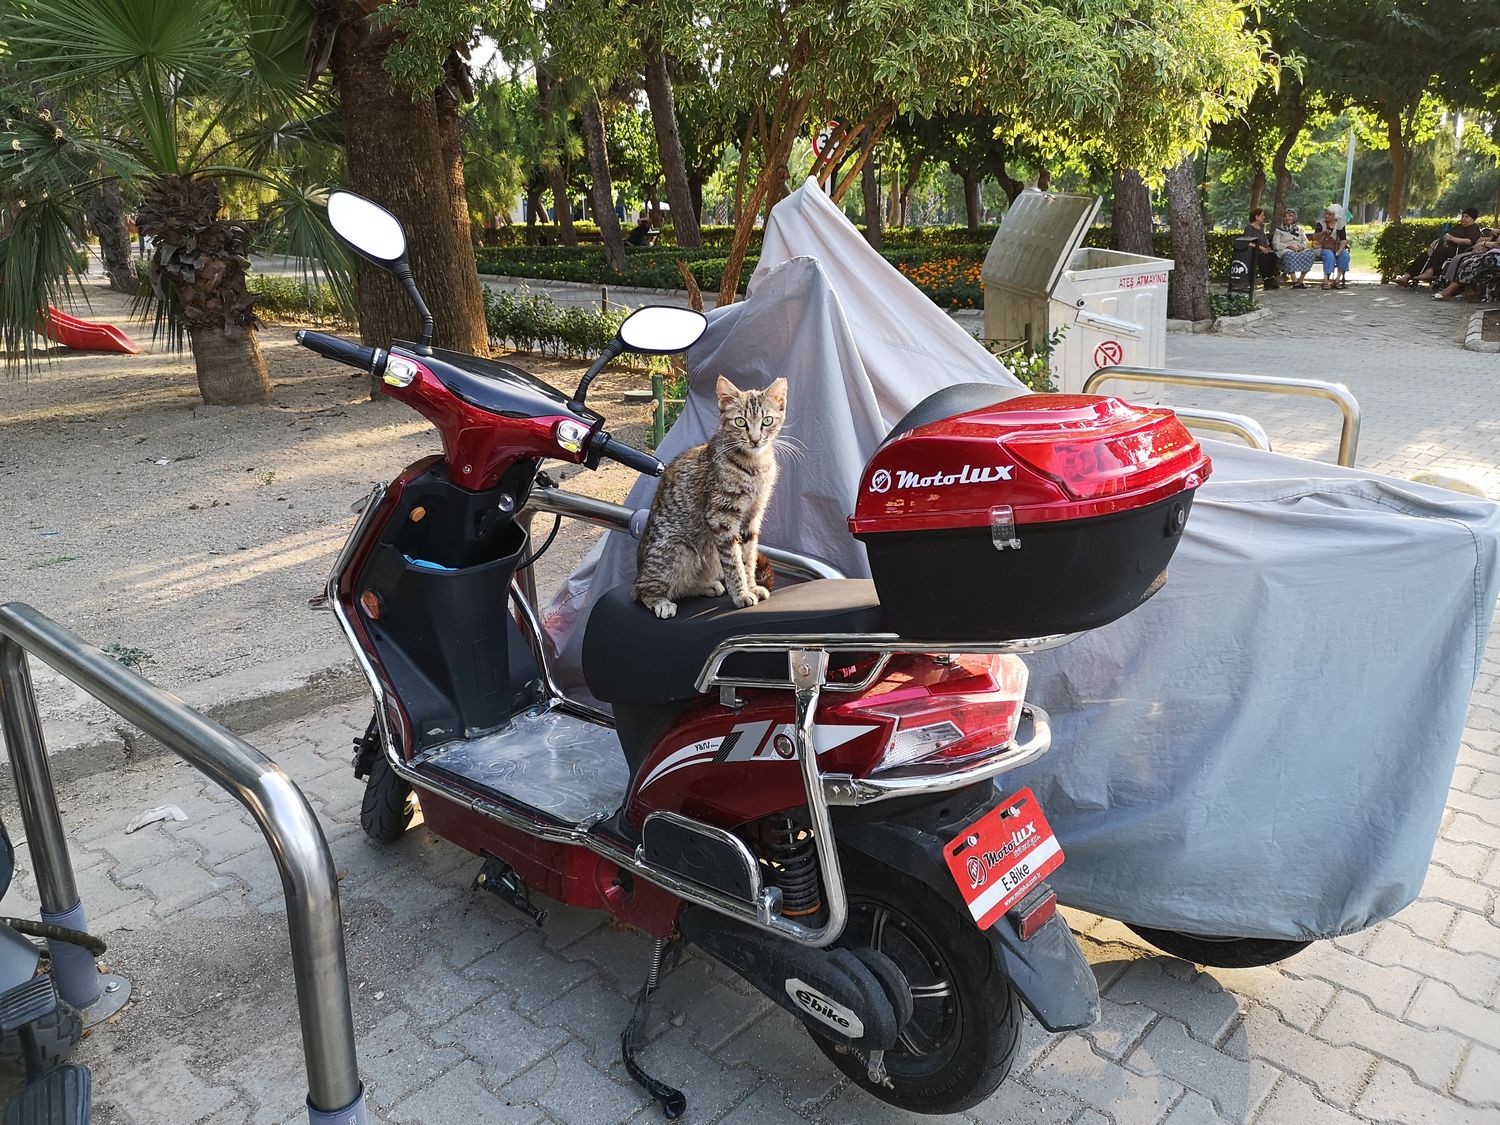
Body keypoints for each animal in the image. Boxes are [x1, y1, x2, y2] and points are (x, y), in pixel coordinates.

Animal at [632, 375, 787, 619]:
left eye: (767, 421)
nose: (754, 440)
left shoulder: (752, 517)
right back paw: (660, 601)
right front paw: (741, 594)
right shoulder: (721, 517)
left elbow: (748, 557)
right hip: (678, 550)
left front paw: (751, 586)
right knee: (642, 590)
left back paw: (706, 585)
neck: (755, 465)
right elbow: (734, 563)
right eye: (740, 422)